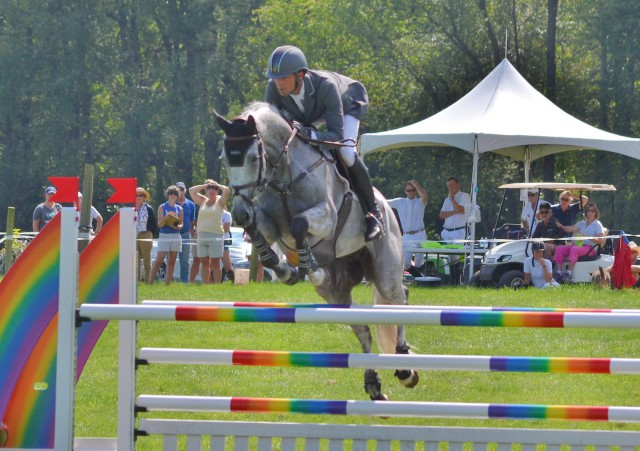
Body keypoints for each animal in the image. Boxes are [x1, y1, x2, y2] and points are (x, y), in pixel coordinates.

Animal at [216, 101, 420, 400]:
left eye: (254, 157)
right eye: (224, 159)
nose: (240, 211)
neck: (284, 173)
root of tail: (388, 208)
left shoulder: (327, 216)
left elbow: (299, 223)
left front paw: (309, 268)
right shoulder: (269, 223)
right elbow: (257, 232)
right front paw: (286, 270)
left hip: (385, 268)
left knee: (400, 298)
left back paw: (405, 366)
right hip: (336, 291)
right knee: (363, 329)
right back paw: (373, 383)